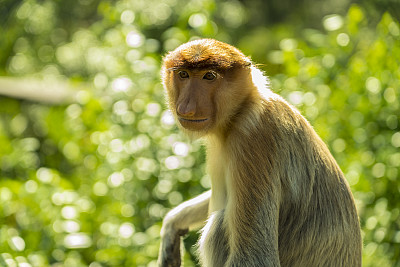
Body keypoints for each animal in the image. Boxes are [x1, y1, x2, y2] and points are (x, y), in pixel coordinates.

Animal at [157, 38, 362, 266]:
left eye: (209, 76)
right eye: (183, 74)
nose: (187, 108)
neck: (240, 111)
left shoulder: (254, 138)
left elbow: (255, 257)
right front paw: (172, 225)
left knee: (218, 227)